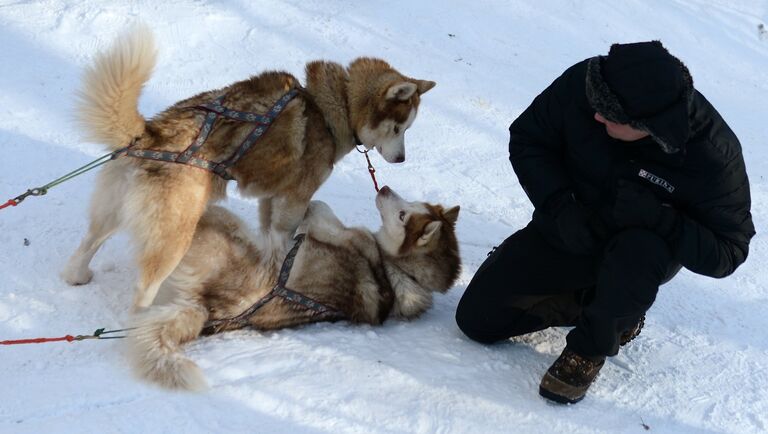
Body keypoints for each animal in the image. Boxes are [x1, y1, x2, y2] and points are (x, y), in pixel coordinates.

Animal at [63, 27, 436, 308]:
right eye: (399, 129)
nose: (402, 160)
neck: (334, 107)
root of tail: (152, 132)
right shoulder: (293, 200)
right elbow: (284, 237)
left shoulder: (270, 199)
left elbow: (270, 237)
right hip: (175, 232)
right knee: (145, 287)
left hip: (112, 212)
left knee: (87, 245)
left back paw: (77, 276)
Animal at [129, 186, 460, 390]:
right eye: (410, 204)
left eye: (403, 214)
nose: (385, 188)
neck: (399, 272)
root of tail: (204, 306)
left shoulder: (340, 234)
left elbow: (322, 210)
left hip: (218, 223)